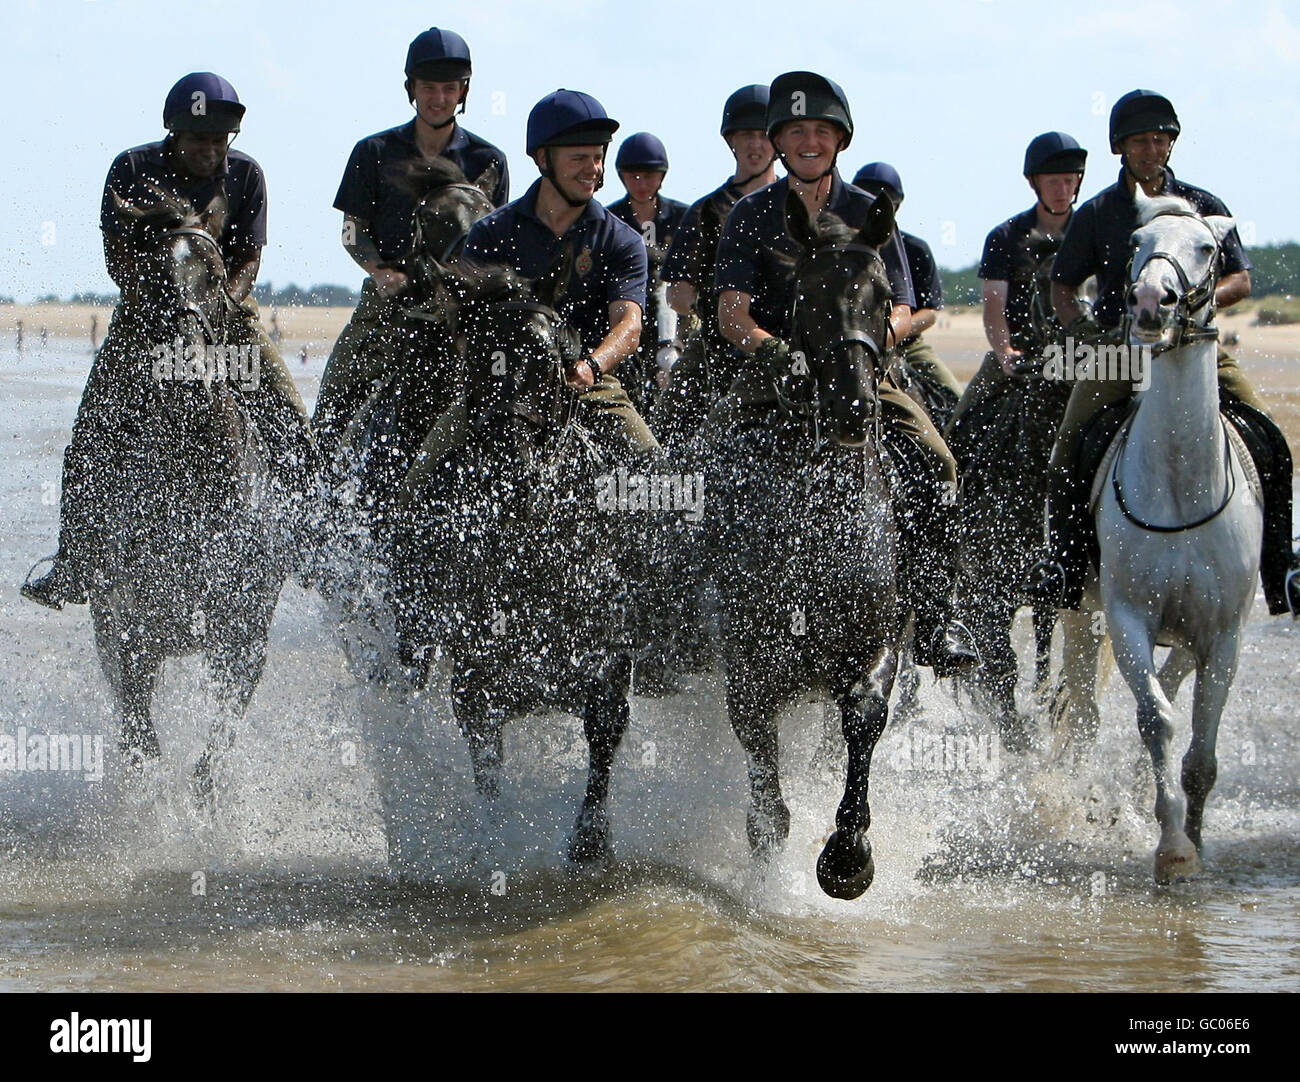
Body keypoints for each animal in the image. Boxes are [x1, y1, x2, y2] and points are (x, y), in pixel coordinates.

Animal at [712, 189, 904, 899]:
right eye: (808, 293)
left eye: (882, 294)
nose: (853, 408)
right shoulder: (748, 663)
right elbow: (764, 783)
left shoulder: (877, 640)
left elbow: (864, 717)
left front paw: (848, 858)